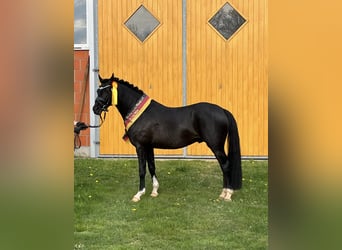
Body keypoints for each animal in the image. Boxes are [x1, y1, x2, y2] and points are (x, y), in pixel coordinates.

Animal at [92, 73, 242, 202]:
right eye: (98, 91)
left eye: (106, 91)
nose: (95, 109)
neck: (141, 114)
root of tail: (222, 110)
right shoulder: (149, 146)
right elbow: (152, 167)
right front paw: (154, 191)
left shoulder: (140, 146)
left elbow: (142, 169)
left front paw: (139, 194)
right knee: (223, 165)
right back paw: (223, 193)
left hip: (216, 146)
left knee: (225, 165)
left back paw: (228, 194)